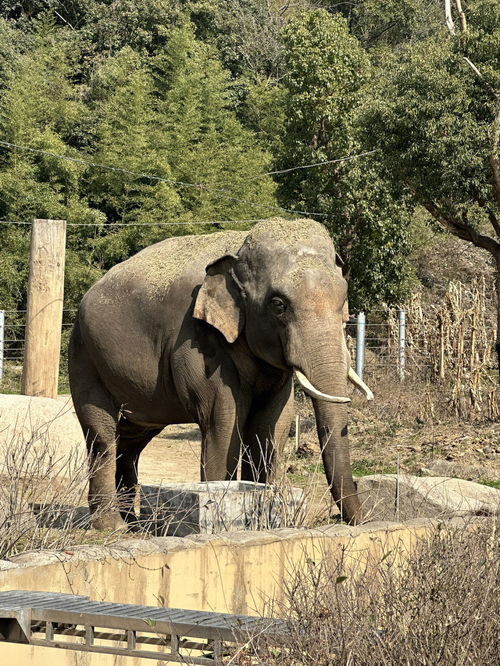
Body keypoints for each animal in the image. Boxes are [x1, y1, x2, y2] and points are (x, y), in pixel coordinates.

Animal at [70, 218, 374, 528]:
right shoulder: (197, 340)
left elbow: (272, 424)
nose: (358, 520)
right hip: (85, 356)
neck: (238, 248)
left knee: (131, 441)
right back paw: (112, 525)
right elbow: (224, 420)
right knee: (102, 436)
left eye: (343, 300)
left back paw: (133, 523)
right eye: (278, 305)